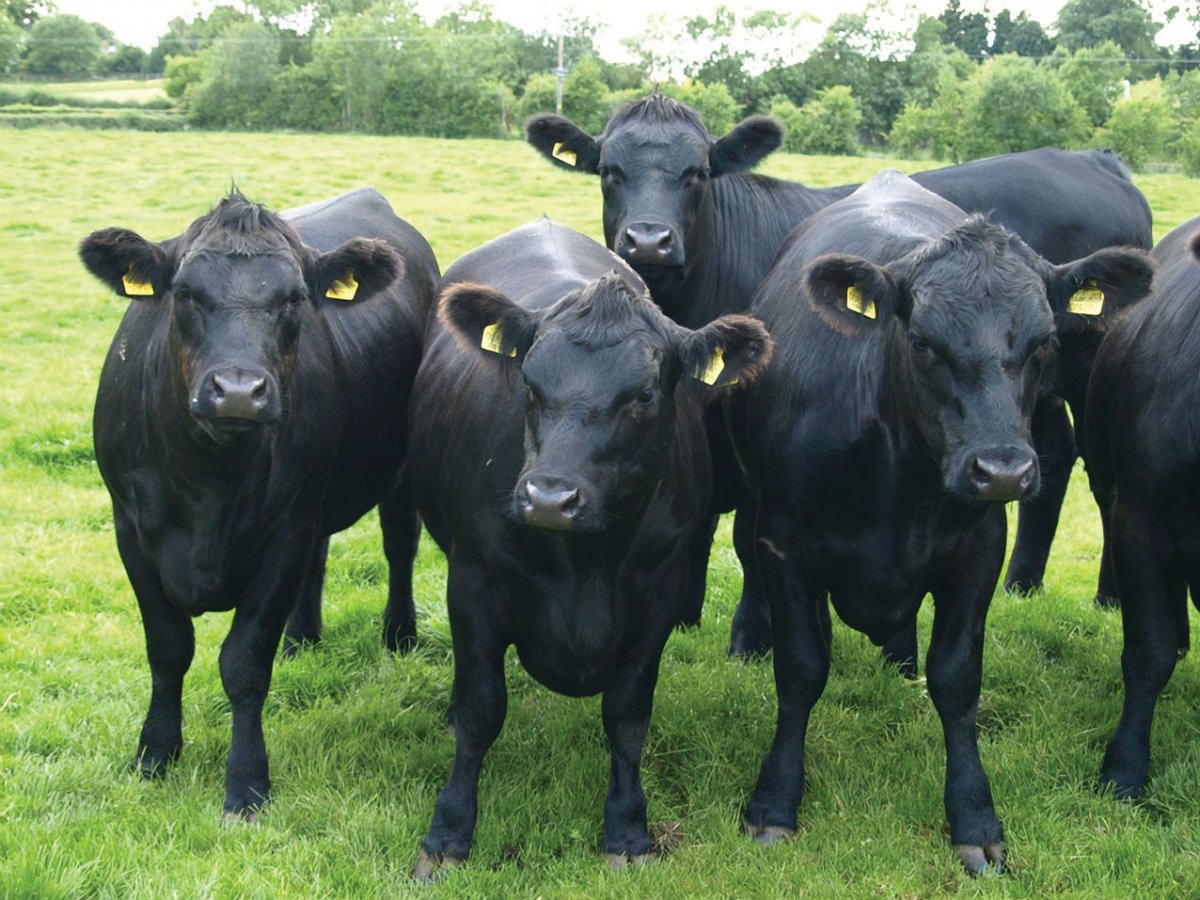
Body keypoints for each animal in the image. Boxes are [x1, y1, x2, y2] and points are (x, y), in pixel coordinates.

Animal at [79, 187, 440, 818]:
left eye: (294, 298)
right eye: (184, 293)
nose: (239, 392)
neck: (207, 484)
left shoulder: (283, 532)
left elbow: (244, 663)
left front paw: (246, 782)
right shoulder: (131, 530)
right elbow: (167, 648)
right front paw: (155, 755)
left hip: (394, 472)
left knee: (399, 544)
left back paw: (400, 635)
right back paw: (302, 638)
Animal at [407, 219, 772, 879]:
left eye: (646, 394)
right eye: (528, 383)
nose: (550, 497)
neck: (583, 569)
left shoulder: (659, 593)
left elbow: (627, 716)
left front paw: (627, 829)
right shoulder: (472, 583)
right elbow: (480, 710)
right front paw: (447, 834)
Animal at [527, 89, 1153, 657]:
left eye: (696, 173)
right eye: (609, 171)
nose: (648, 241)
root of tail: (1097, 158)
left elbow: (744, 534)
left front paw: (748, 639)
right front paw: (686, 616)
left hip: (1088, 372)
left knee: (1105, 477)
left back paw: (1109, 596)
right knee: (1055, 452)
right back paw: (1022, 583)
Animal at [731, 171, 1154, 873]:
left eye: (1043, 343)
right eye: (924, 342)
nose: (1004, 470)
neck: (896, 481)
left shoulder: (979, 551)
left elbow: (956, 679)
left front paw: (975, 818)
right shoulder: (782, 543)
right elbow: (800, 668)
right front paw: (774, 802)